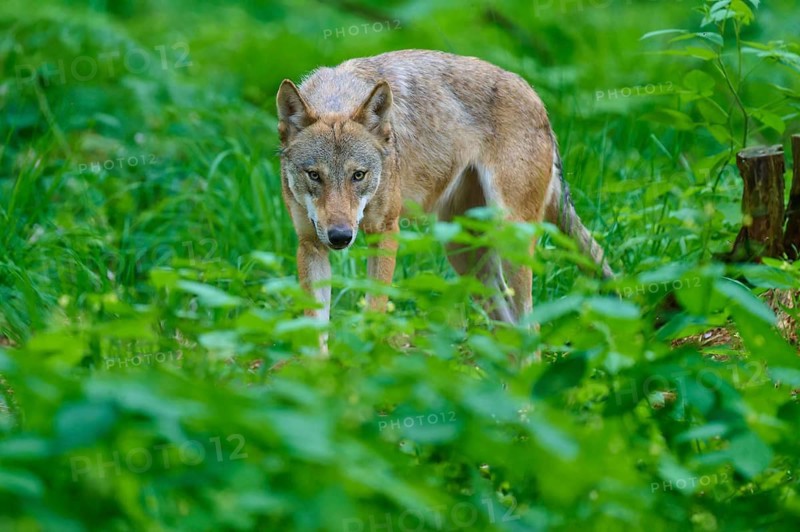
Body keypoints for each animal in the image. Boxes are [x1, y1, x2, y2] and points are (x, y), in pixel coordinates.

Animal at [276, 50, 612, 353]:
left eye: (358, 175)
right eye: (314, 175)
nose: (340, 237)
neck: (338, 96)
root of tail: (536, 97)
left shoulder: (385, 231)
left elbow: (374, 310)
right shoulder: (310, 244)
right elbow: (314, 334)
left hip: (510, 239)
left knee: (532, 326)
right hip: (463, 252)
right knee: (506, 328)